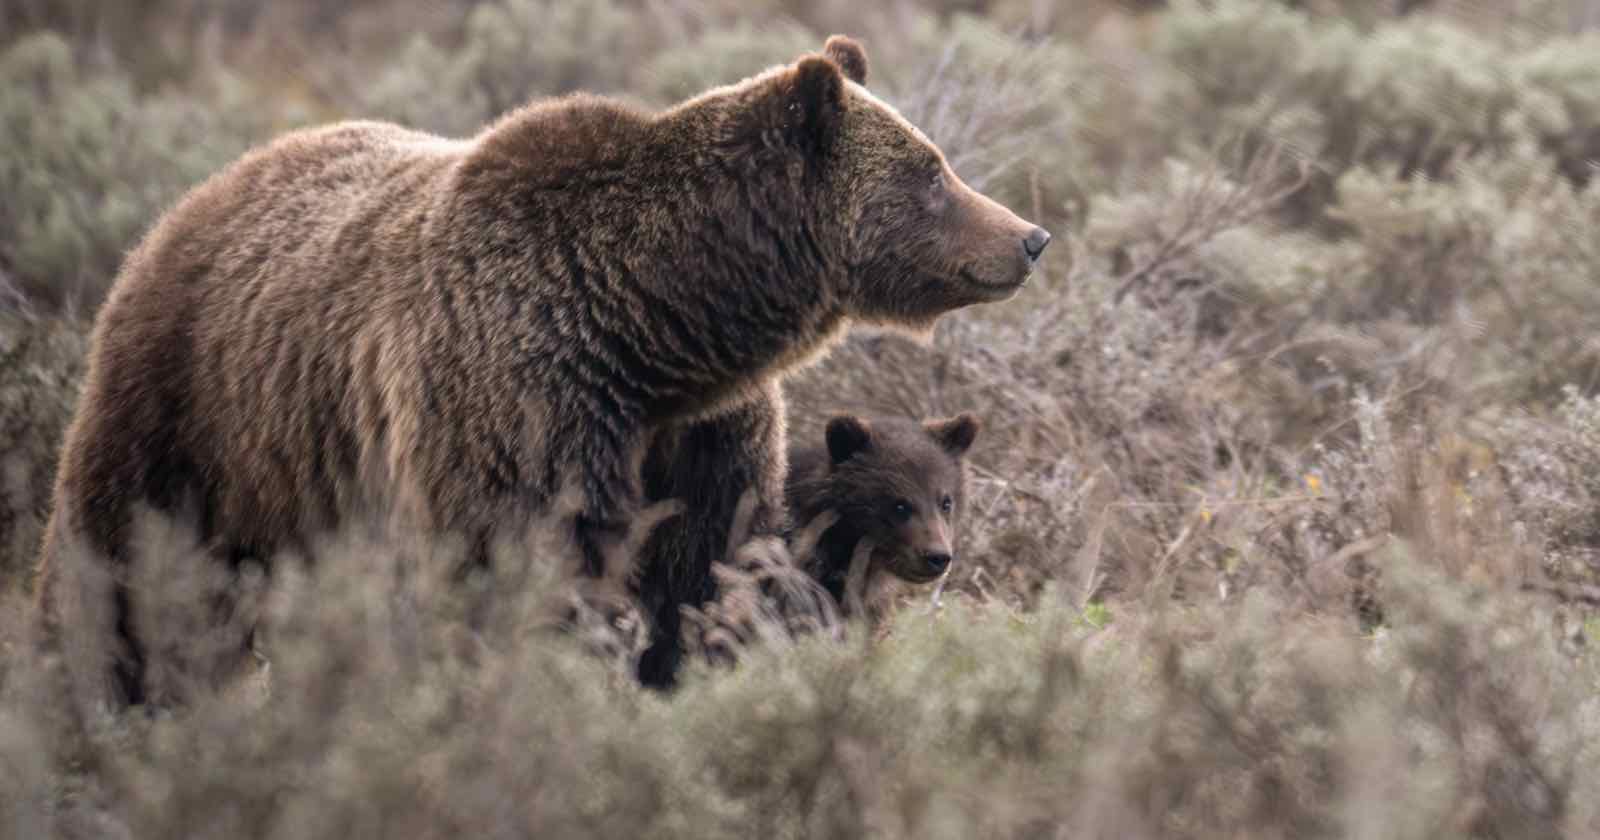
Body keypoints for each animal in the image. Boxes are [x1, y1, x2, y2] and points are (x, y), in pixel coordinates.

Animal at [34, 37, 1049, 707]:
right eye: (931, 171)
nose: (1029, 236)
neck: (655, 327)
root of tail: (197, 196)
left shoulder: (702, 437)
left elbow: (699, 576)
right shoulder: (521, 399)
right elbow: (518, 567)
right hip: (190, 410)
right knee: (118, 568)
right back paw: (96, 698)